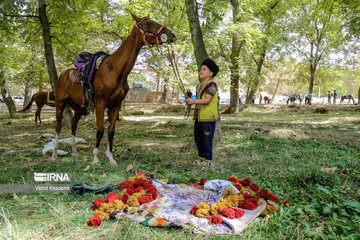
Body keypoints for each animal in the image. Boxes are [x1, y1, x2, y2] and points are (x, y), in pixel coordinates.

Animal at [51, 14, 177, 166]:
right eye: (148, 23)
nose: (172, 34)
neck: (115, 70)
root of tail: (63, 75)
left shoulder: (116, 105)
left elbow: (111, 131)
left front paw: (110, 158)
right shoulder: (100, 104)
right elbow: (100, 130)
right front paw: (95, 159)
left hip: (80, 107)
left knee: (74, 125)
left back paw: (74, 151)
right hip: (60, 104)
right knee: (58, 127)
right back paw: (54, 154)